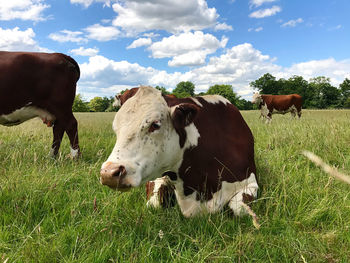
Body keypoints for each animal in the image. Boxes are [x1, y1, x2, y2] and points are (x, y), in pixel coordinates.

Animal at [100, 86, 258, 219]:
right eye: (115, 127)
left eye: (155, 124)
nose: (108, 173)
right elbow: (155, 203)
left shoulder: (250, 181)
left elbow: (238, 208)